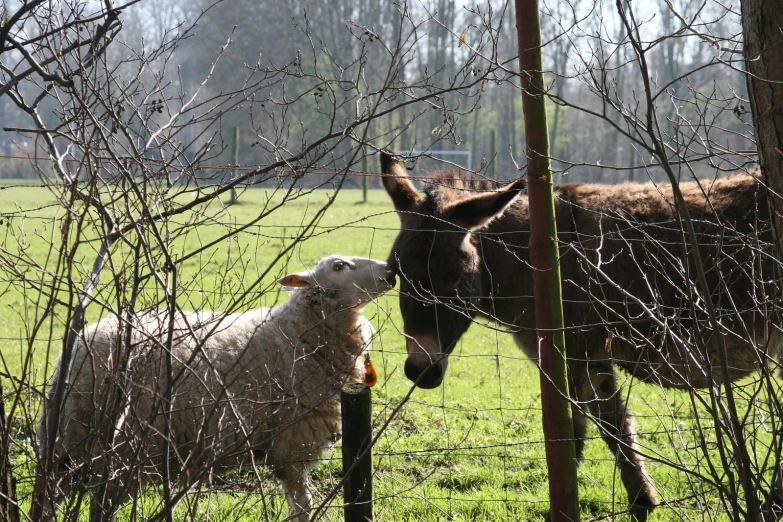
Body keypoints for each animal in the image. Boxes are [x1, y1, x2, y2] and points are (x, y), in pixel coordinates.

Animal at [44, 254, 392, 516]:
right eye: (339, 266)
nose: (392, 270)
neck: (297, 332)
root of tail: (76, 349)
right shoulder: (290, 441)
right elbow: (302, 504)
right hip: (109, 444)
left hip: (73, 447)